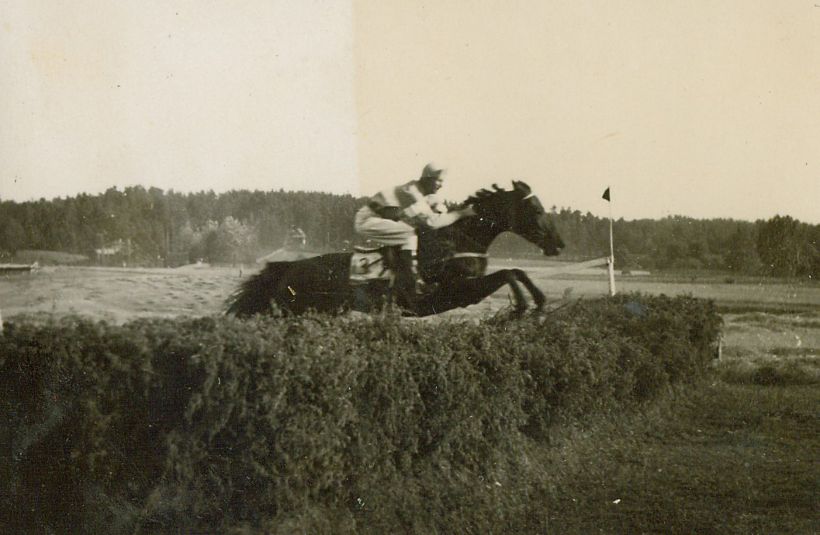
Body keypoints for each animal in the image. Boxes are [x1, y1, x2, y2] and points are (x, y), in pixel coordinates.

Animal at [225, 180, 564, 317]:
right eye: (536, 210)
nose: (558, 245)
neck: (457, 241)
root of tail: (287, 267)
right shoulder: (451, 293)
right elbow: (508, 273)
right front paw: (521, 307)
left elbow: (515, 270)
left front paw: (539, 301)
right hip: (291, 313)